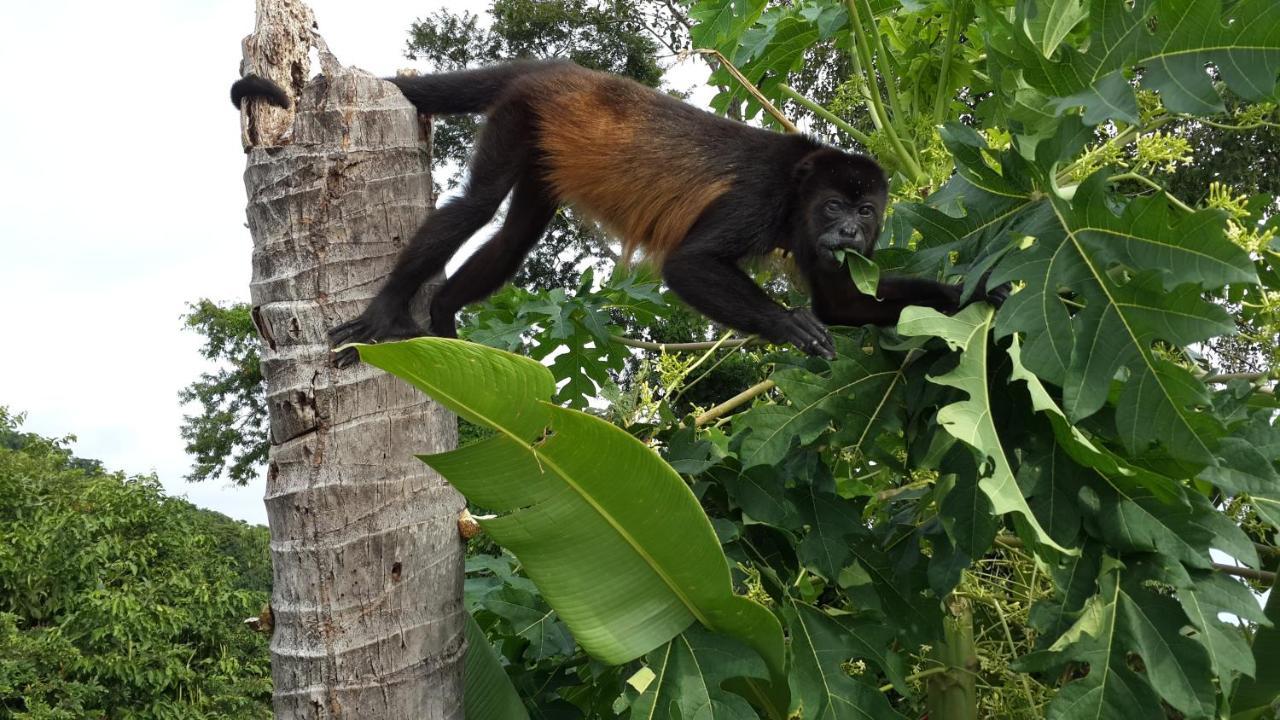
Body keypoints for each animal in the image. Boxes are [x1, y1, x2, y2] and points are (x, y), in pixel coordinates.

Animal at [235, 58, 1003, 361]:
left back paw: (447, 312)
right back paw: (393, 309)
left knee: (516, 234)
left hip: (544, 145)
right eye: (836, 205)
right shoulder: (760, 198)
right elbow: (691, 266)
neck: (799, 187)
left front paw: (973, 295)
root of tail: (552, 69)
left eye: (868, 211)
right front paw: (789, 325)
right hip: (522, 112)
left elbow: (845, 303)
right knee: (477, 205)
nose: (848, 230)